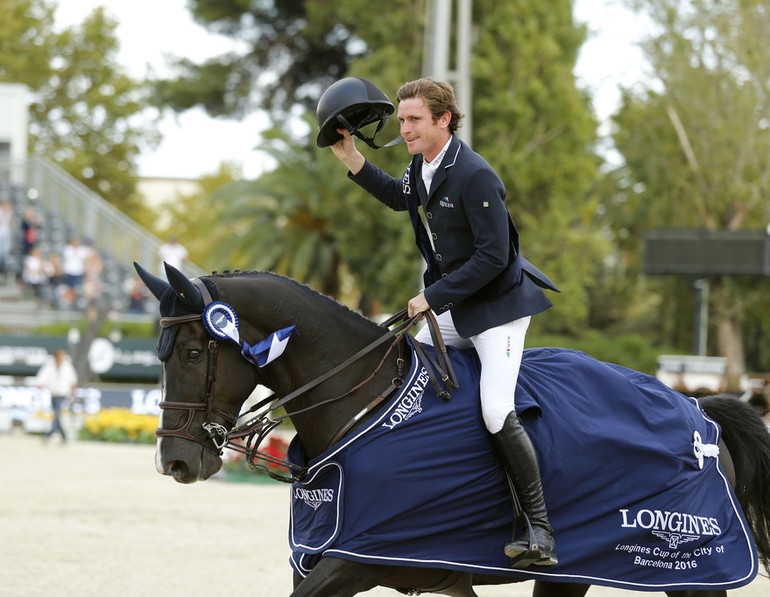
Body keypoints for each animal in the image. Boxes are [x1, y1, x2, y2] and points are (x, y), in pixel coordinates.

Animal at [135, 264, 764, 596]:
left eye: (193, 352)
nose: (175, 462)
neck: (362, 403)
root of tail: (701, 414)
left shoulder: (352, 562)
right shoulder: (429, 575)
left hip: (695, 572)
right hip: (578, 571)